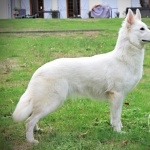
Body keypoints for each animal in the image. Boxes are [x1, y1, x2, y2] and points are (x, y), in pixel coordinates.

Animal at [12, 9, 150, 143]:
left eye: (146, 27)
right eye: (142, 29)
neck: (123, 59)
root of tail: (38, 71)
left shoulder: (117, 98)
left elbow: (115, 117)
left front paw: (117, 129)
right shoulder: (116, 95)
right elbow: (116, 118)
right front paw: (118, 133)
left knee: (32, 117)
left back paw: (37, 131)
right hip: (52, 102)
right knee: (29, 121)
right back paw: (31, 141)